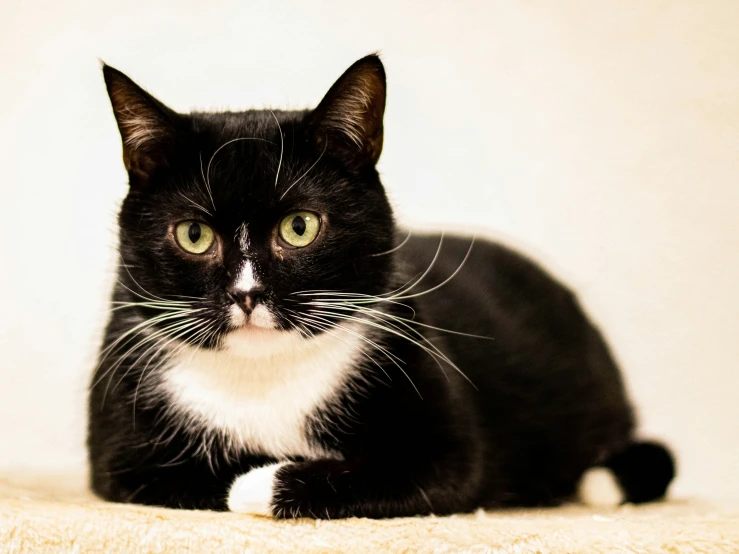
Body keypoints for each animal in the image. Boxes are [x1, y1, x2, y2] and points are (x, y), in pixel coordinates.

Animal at [88, 54, 676, 516]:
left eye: (300, 227)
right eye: (193, 234)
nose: (246, 294)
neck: (265, 376)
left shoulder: (443, 441)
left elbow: (425, 468)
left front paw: (266, 480)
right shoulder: (120, 450)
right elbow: (184, 473)